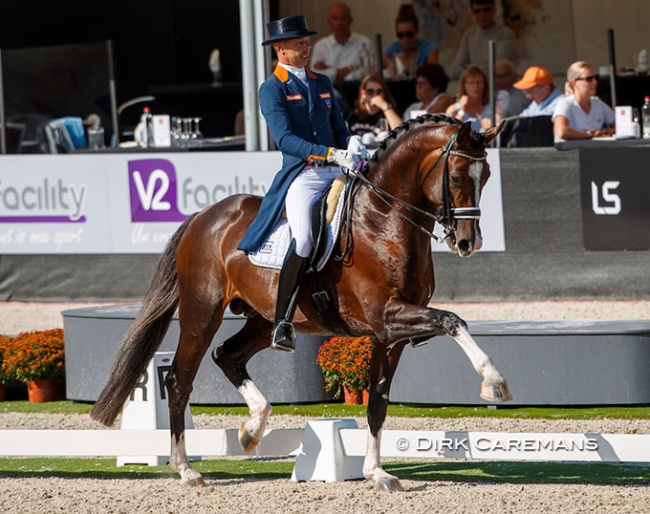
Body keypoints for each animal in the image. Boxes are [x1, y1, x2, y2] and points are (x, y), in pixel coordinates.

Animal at [88, 114, 508, 490]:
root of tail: (204, 215)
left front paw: (377, 474)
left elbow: (378, 403)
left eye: (486, 176)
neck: (383, 221)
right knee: (178, 380)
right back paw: (187, 470)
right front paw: (494, 382)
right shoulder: (388, 317)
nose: (469, 243)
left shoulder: (389, 336)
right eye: (457, 177)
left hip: (263, 319)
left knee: (228, 355)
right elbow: (453, 320)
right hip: (201, 312)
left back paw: (252, 428)